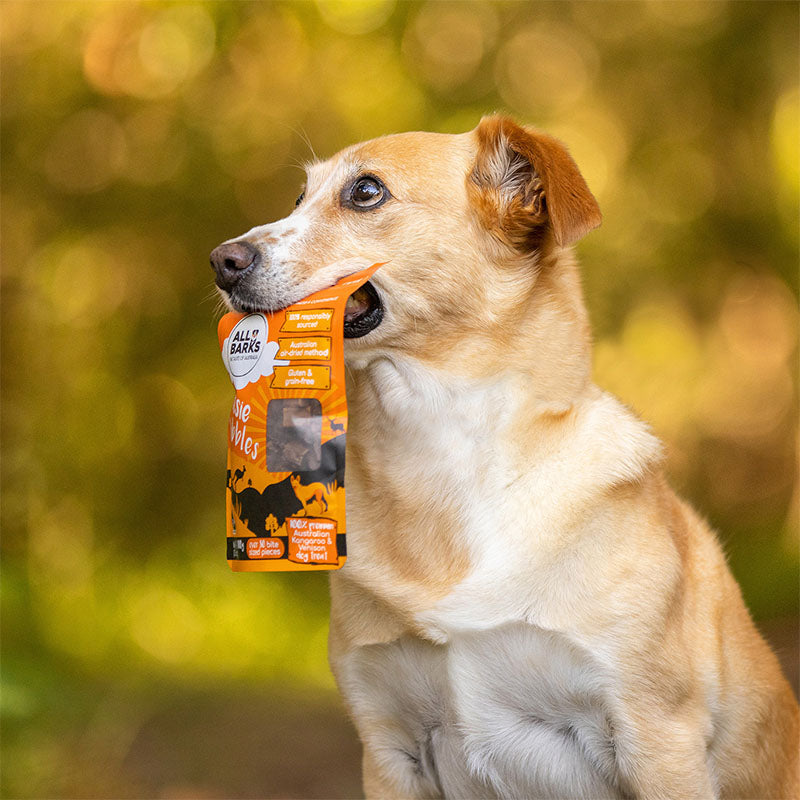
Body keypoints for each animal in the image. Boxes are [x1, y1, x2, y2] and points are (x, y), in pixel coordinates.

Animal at [209, 115, 796, 796]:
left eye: (366, 192)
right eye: (299, 197)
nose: (222, 260)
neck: (437, 454)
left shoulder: (658, 737)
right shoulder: (387, 750)